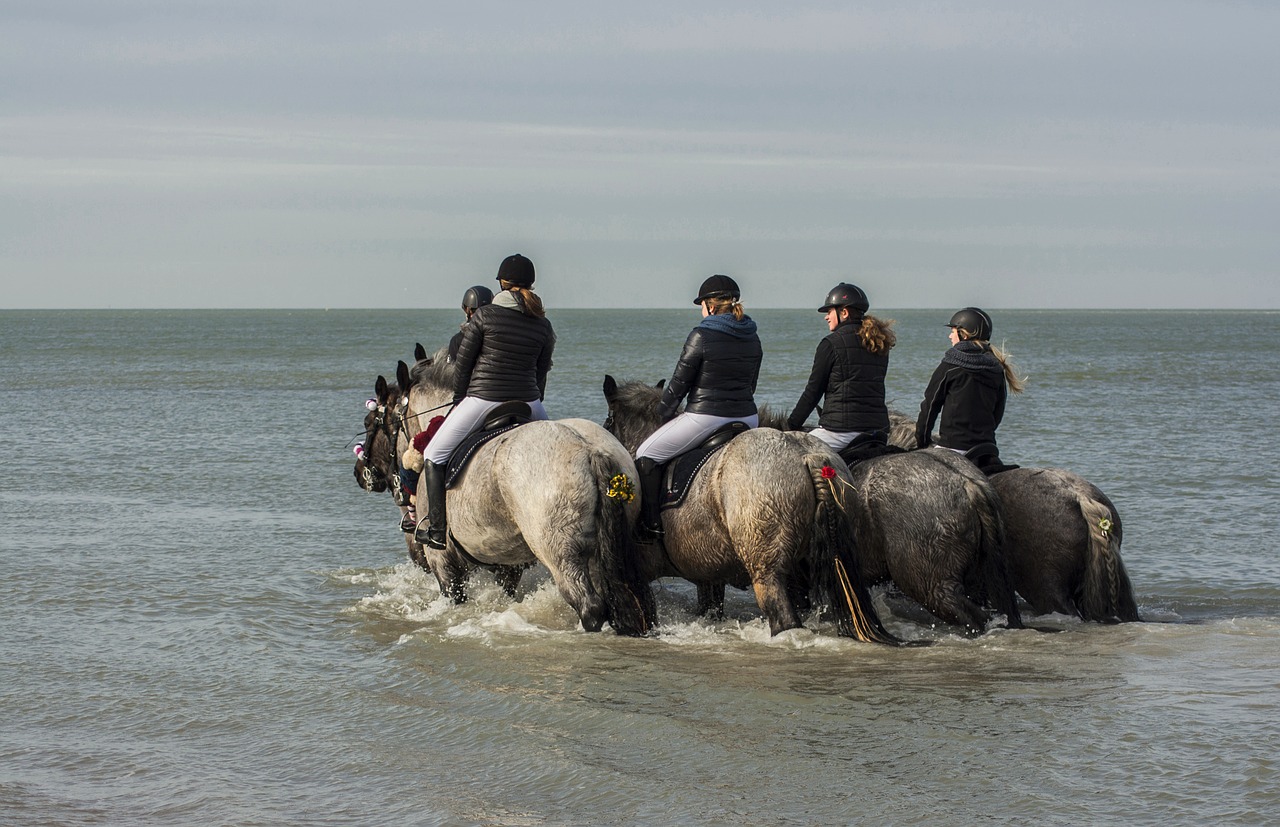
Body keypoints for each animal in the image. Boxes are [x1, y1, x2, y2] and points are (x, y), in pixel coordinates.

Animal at [396, 345, 660, 637]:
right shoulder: (507, 565)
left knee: (589, 605)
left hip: (560, 552)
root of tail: (590, 450)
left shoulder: (444, 565)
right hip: (600, 553)